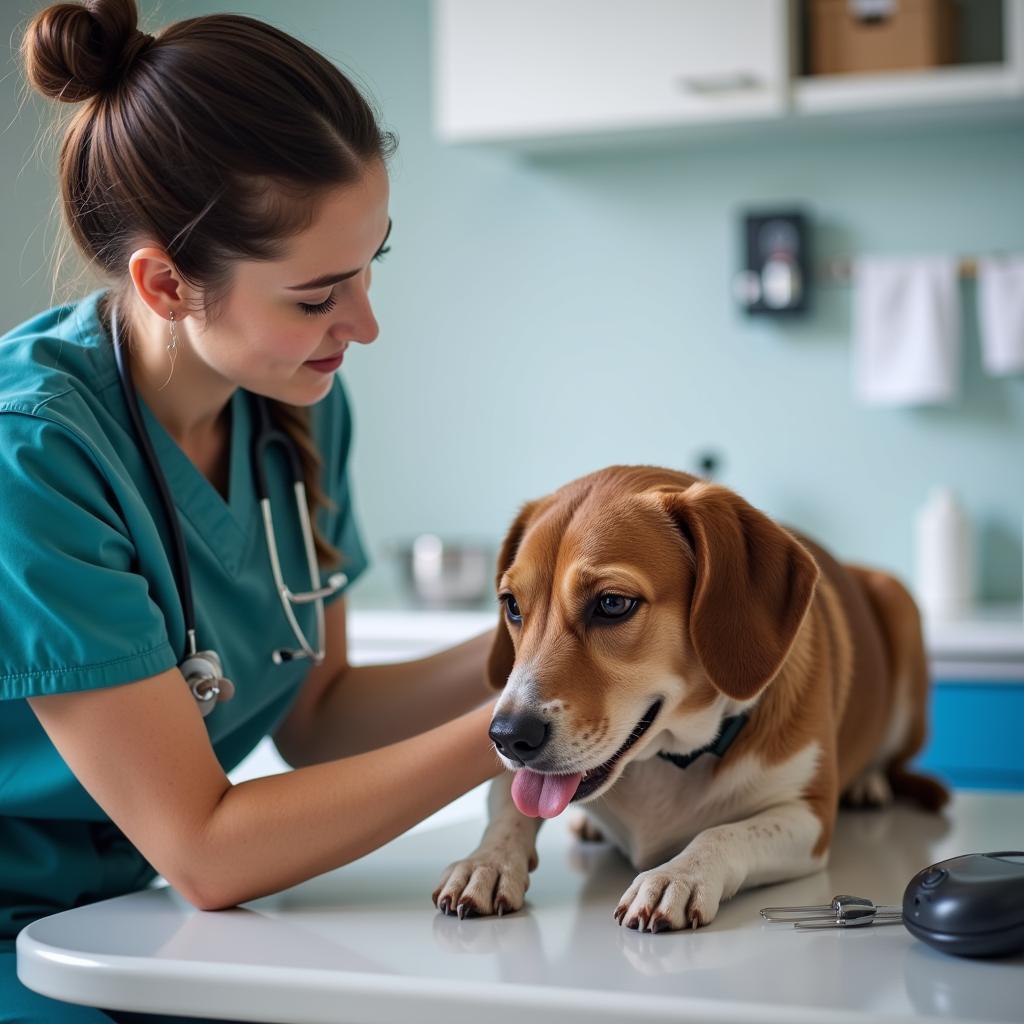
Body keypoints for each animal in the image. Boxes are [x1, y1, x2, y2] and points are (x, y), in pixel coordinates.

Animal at [428, 468, 946, 933]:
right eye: (512, 605)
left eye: (612, 603)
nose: (508, 737)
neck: (666, 759)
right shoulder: (512, 778)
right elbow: (510, 808)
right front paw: (486, 862)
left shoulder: (809, 817)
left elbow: (722, 832)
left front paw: (676, 876)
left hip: (900, 610)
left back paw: (868, 784)